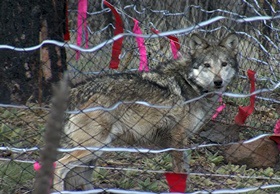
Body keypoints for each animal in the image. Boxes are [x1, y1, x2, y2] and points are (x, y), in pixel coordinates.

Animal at [52, 33, 238, 191]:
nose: (218, 82)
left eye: (224, 64)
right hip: (93, 147)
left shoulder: (182, 140)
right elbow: (180, 173)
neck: (190, 84)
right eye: (207, 65)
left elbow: (185, 171)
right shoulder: (178, 139)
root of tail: (75, 91)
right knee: (59, 166)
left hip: (96, 151)